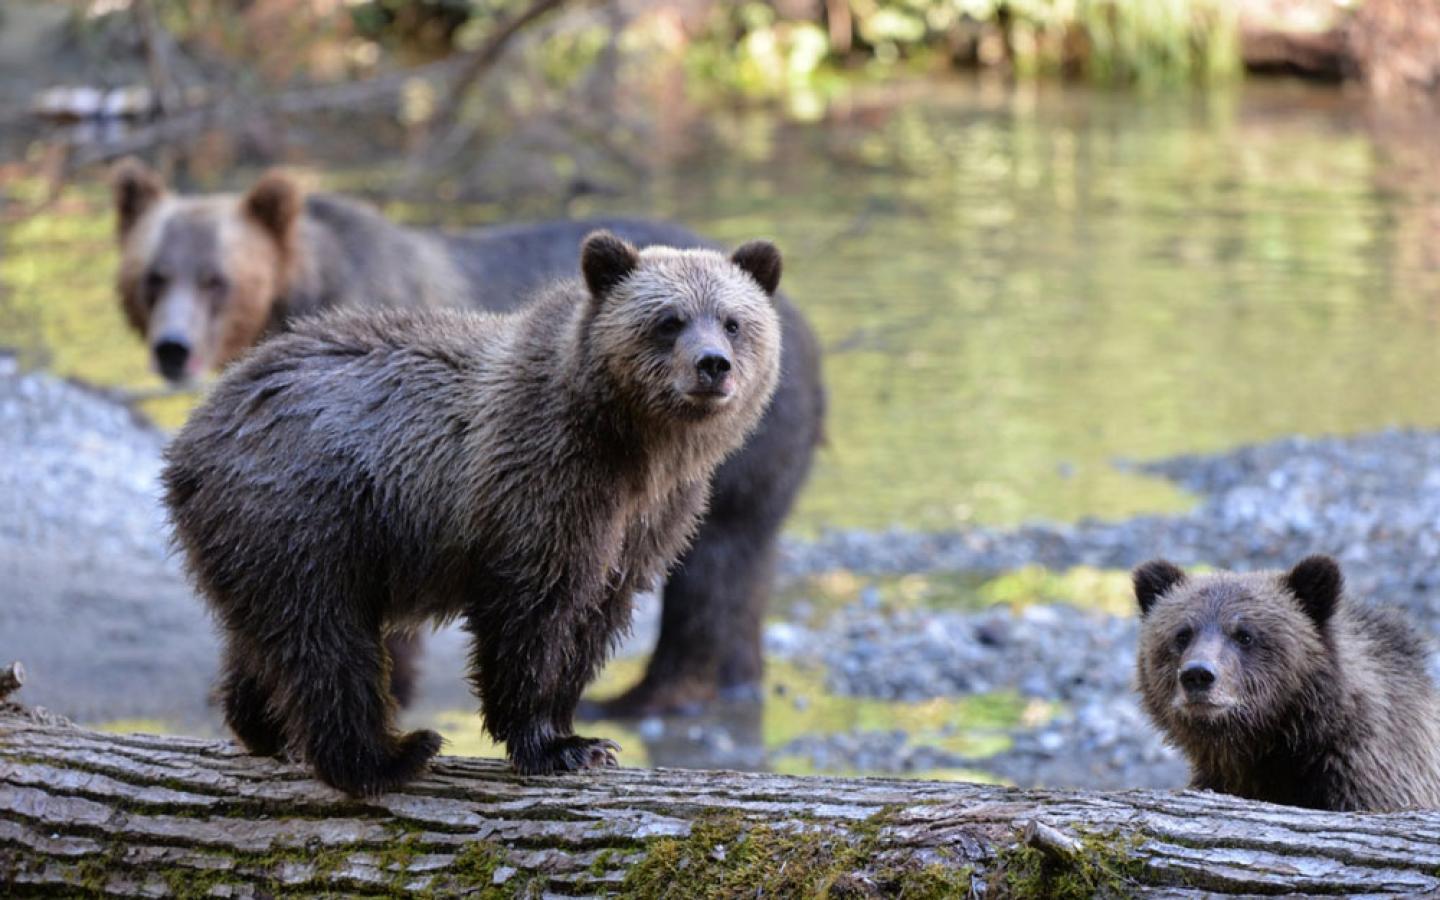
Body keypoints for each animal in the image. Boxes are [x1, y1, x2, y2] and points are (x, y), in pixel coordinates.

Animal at [115, 157, 823, 711]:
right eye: (154, 276)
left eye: (215, 277)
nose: (173, 349)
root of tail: (808, 333)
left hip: (749, 460)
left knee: (713, 566)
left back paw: (654, 693)